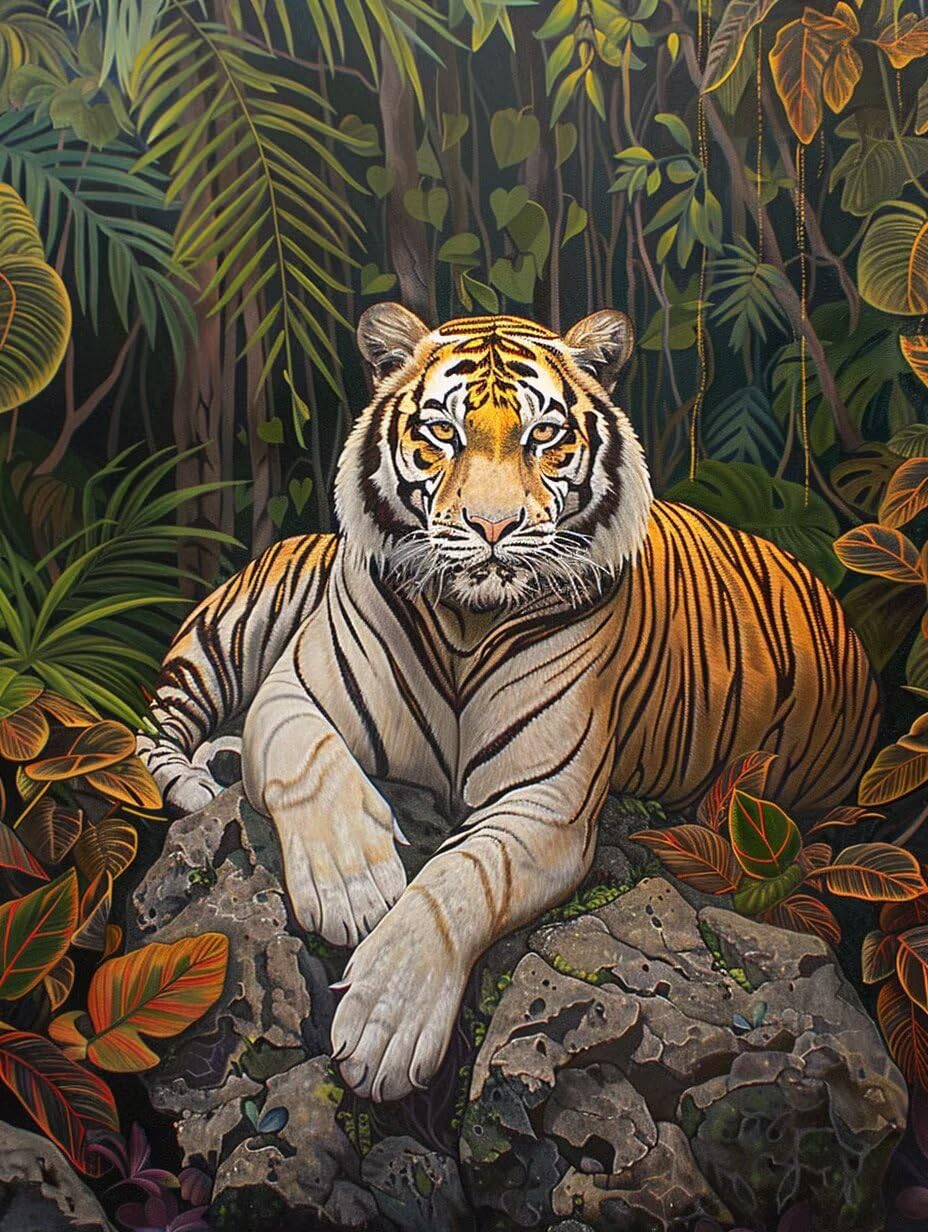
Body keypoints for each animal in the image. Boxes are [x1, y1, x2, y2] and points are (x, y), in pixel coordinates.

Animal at [138, 304, 880, 1104]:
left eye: (544, 435)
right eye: (441, 432)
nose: (492, 527)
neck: (468, 623)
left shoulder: (546, 800)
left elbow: (462, 879)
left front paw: (385, 1022)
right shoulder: (295, 688)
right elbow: (311, 763)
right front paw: (352, 888)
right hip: (233, 630)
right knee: (161, 727)